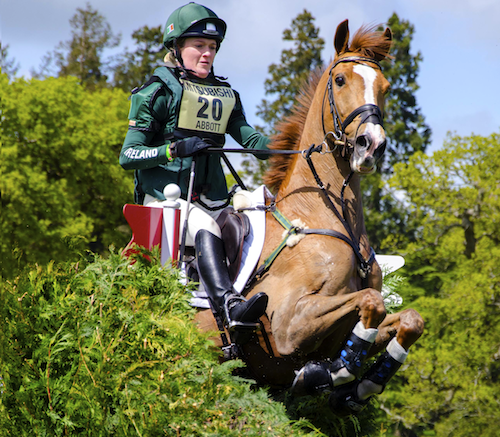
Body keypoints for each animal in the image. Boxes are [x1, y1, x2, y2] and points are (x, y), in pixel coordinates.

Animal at [195, 19, 422, 412]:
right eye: (340, 80)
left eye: (385, 87)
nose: (372, 146)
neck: (328, 214)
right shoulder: (288, 325)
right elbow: (372, 301)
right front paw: (331, 373)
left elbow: (409, 320)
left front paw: (357, 384)